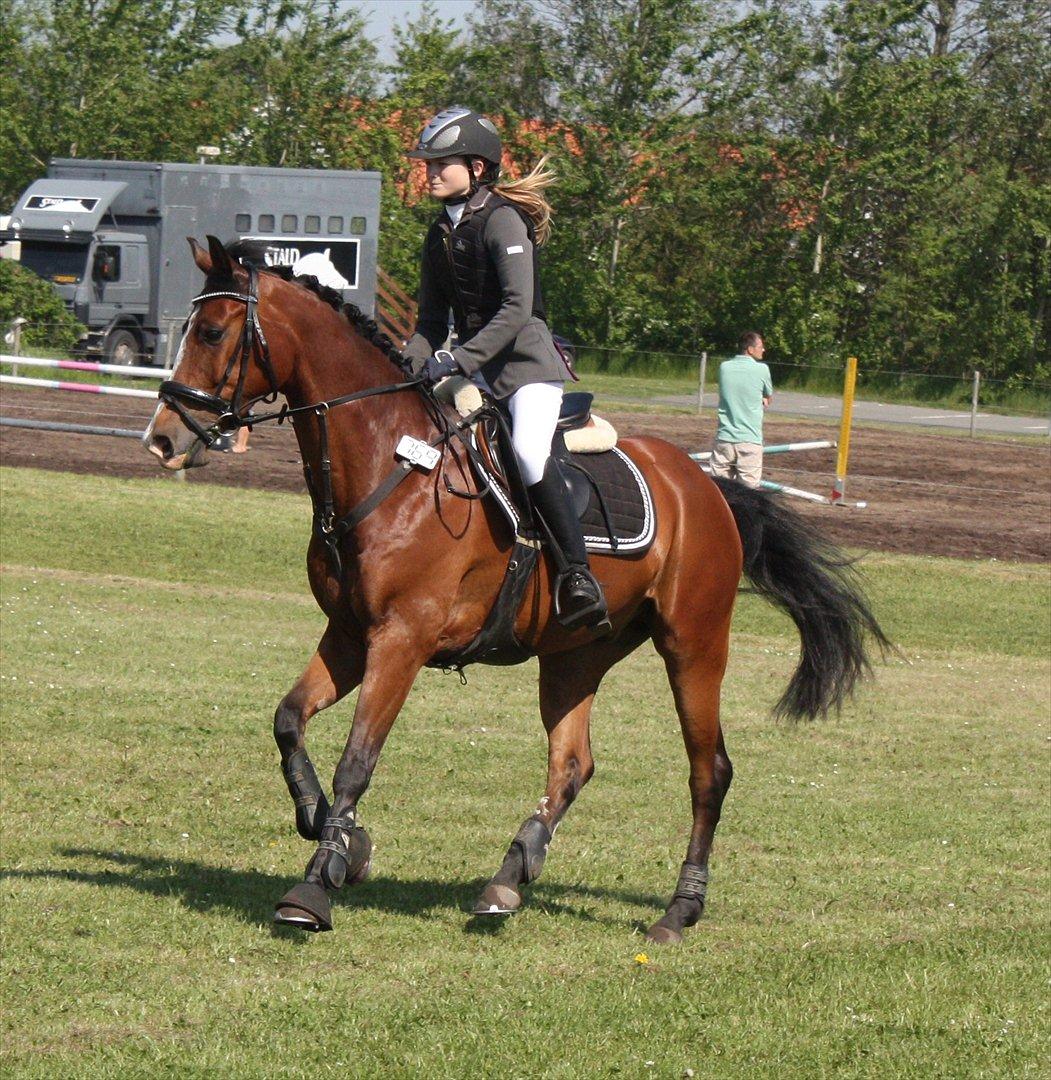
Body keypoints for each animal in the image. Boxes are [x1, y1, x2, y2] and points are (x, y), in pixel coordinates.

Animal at [145, 236, 887, 942]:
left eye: (211, 332)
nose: (162, 439)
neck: (389, 460)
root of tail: (705, 485)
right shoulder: (352, 633)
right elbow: (289, 722)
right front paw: (340, 839)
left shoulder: (403, 637)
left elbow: (357, 760)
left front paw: (314, 885)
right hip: (576, 652)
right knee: (572, 764)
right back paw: (508, 876)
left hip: (694, 645)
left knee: (709, 771)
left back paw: (679, 910)